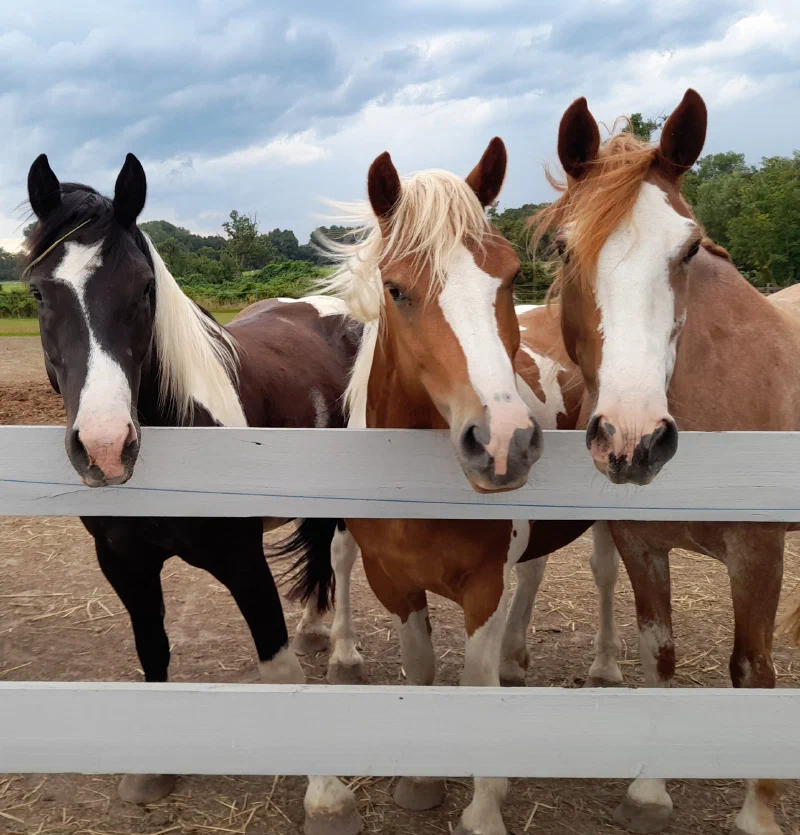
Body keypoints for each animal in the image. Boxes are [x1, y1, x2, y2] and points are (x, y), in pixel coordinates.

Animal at [23, 153, 362, 835]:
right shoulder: (123, 564)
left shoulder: (243, 560)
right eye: (41, 292)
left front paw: (326, 798)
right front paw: (153, 771)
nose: (105, 448)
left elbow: (278, 666)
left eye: (143, 290)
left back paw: (341, 655)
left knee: (339, 556)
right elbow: (153, 651)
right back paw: (316, 631)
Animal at [277, 139, 624, 835]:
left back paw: (601, 666)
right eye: (396, 289)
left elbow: (472, 684)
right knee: (535, 571)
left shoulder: (481, 587)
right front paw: (420, 780)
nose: (504, 441)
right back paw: (518, 658)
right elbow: (423, 670)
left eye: (510, 275)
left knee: (603, 573)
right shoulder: (395, 582)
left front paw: (484, 808)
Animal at [532, 89, 800, 835]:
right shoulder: (640, 543)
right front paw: (650, 790)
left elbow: (754, 669)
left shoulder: (758, 553)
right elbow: (660, 650)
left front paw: (758, 812)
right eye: (565, 247)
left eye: (687, 248)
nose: (634, 439)